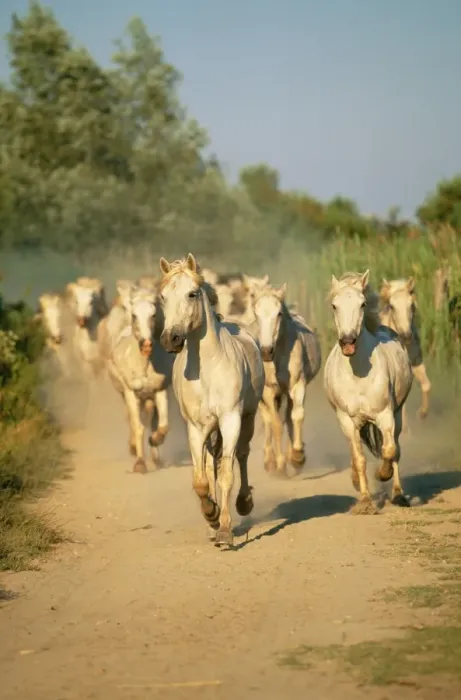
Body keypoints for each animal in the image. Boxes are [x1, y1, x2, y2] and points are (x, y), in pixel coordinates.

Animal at [158, 253, 265, 547]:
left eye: (192, 293)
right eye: (162, 297)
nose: (170, 339)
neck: (207, 369)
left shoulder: (230, 420)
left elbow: (227, 472)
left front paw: (225, 531)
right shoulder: (196, 428)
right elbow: (201, 479)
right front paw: (212, 515)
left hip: (248, 419)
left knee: (241, 455)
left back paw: (243, 504)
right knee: (210, 463)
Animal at [250, 282, 321, 476]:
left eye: (279, 313)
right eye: (256, 313)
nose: (266, 351)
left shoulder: (297, 385)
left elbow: (296, 416)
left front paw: (297, 457)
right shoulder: (268, 390)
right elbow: (275, 424)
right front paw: (280, 464)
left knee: (288, 417)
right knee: (267, 419)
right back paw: (270, 460)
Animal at [323, 271, 413, 513]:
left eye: (362, 304)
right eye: (334, 305)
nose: (348, 342)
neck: (358, 374)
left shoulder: (386, 414)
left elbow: (389, 450)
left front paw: (382, 474)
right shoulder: (347, 420)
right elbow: (360, 458)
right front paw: (364, 501)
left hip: (398, 414)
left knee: (396, 449)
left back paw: (399, 494)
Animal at [379, 277, 431, 424]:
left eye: (411, 305)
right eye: (391, 306)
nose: (406, 336)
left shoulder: (416, 364)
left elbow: (426, 385)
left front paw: (422, 413)